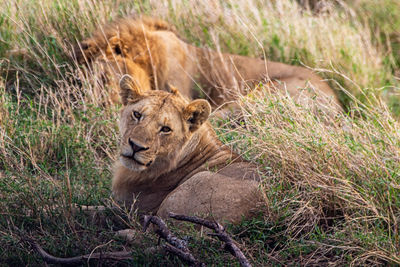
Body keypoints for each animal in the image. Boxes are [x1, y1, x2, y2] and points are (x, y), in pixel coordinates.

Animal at [73, 16, 342, 113]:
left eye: (105, 78)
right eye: (83, 85)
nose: (99, 109)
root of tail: (339, 105)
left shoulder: (178, 91)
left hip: (270, 89)